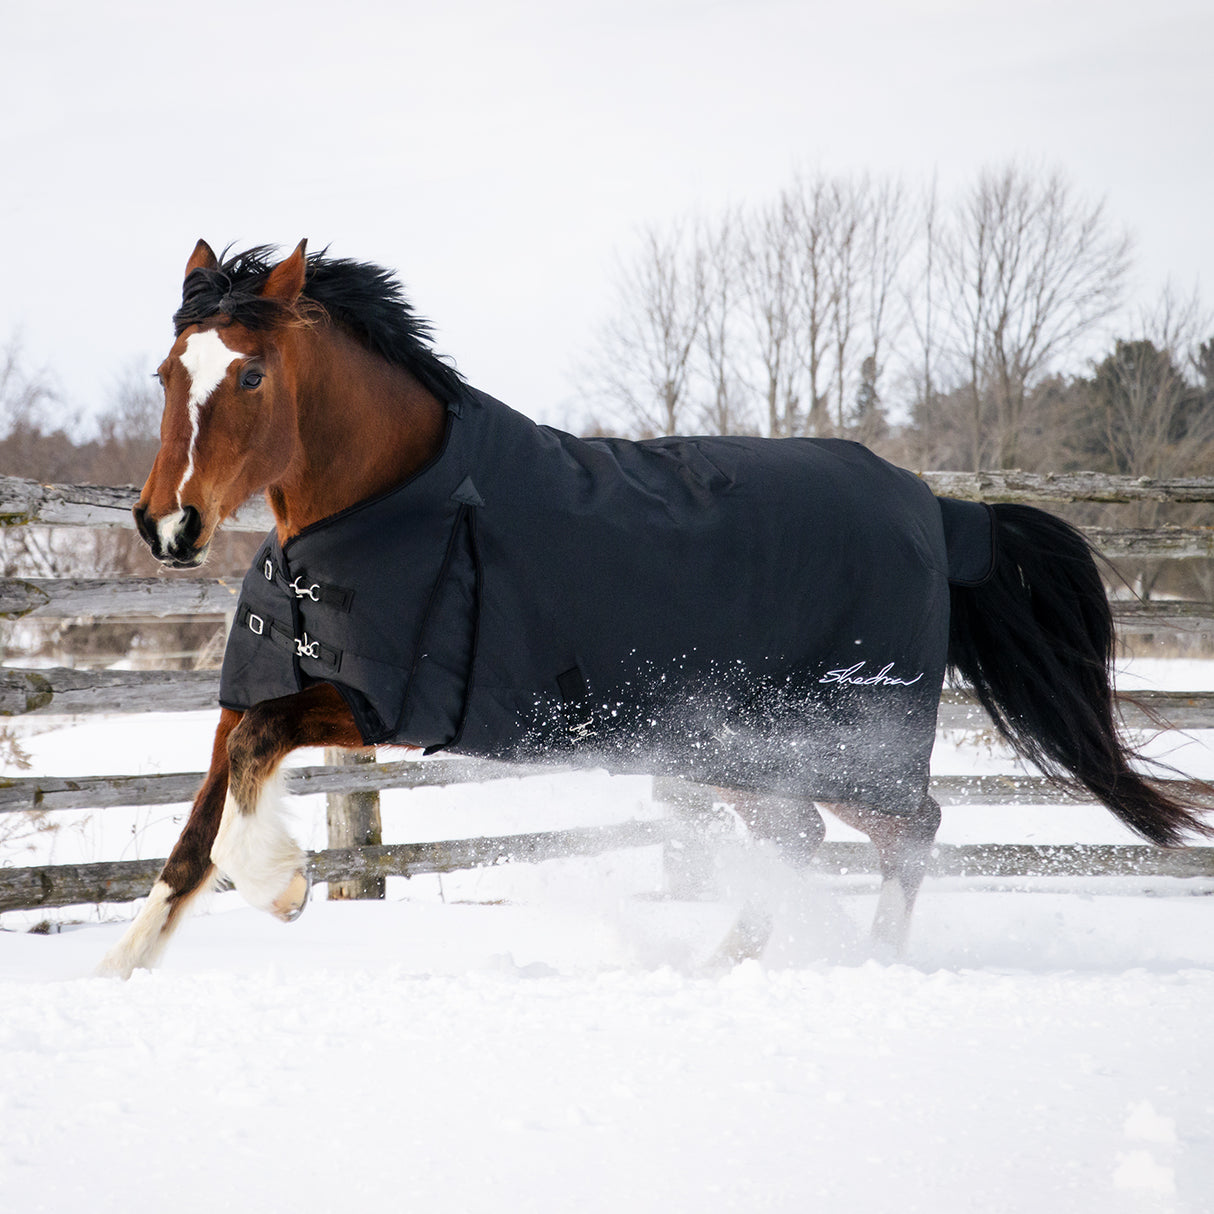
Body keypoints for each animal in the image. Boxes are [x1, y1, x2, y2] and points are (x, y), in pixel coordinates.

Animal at [97, 241, 1214, 980]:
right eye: (166, 372)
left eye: (250, 372)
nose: (168, 525)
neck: (397, 505)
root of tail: (937, 511)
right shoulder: (265, 690)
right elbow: (197, 825)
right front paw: (123, 970)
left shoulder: (386, 703)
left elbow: (249, 774)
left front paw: (282, 886)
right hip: (737, 745)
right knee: (805, 838)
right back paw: (721, 965)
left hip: (841, 736)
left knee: (909, 828)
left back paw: (866, 965)